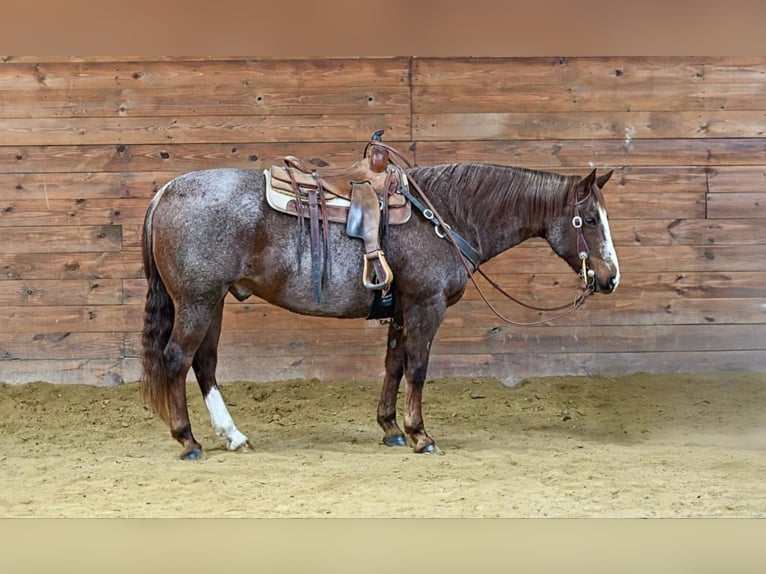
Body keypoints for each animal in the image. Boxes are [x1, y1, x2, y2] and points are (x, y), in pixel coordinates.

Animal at [141, 135, 620, 460]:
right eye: (590, 219)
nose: (611, 277)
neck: (443, 215)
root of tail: (165, 191)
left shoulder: (402, 309)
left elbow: (394, 364)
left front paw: (391, 428)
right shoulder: (427, 305)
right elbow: (418, 367)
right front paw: (420, 434)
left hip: (215, 300)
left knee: (204, 364)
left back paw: (234, 435)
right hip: (198, 300)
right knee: (177, 358)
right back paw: (188, 440)